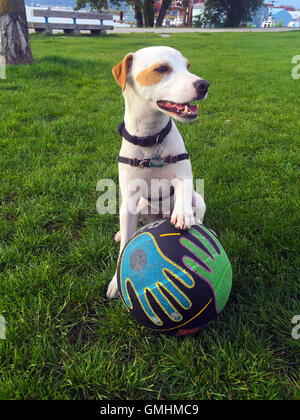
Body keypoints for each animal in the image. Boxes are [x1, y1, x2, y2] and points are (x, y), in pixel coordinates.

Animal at [107, 46, 209, 298]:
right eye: (161, 69)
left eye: (188, 66)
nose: (204, 84)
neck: (151, 138)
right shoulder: (129, 199)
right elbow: (125, 245)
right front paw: (115, 282)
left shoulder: (184, 176)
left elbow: (182, 188)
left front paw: (182, 214)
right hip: (139, 207)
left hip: (199, 199)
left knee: (199, 212)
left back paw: (196, 221)